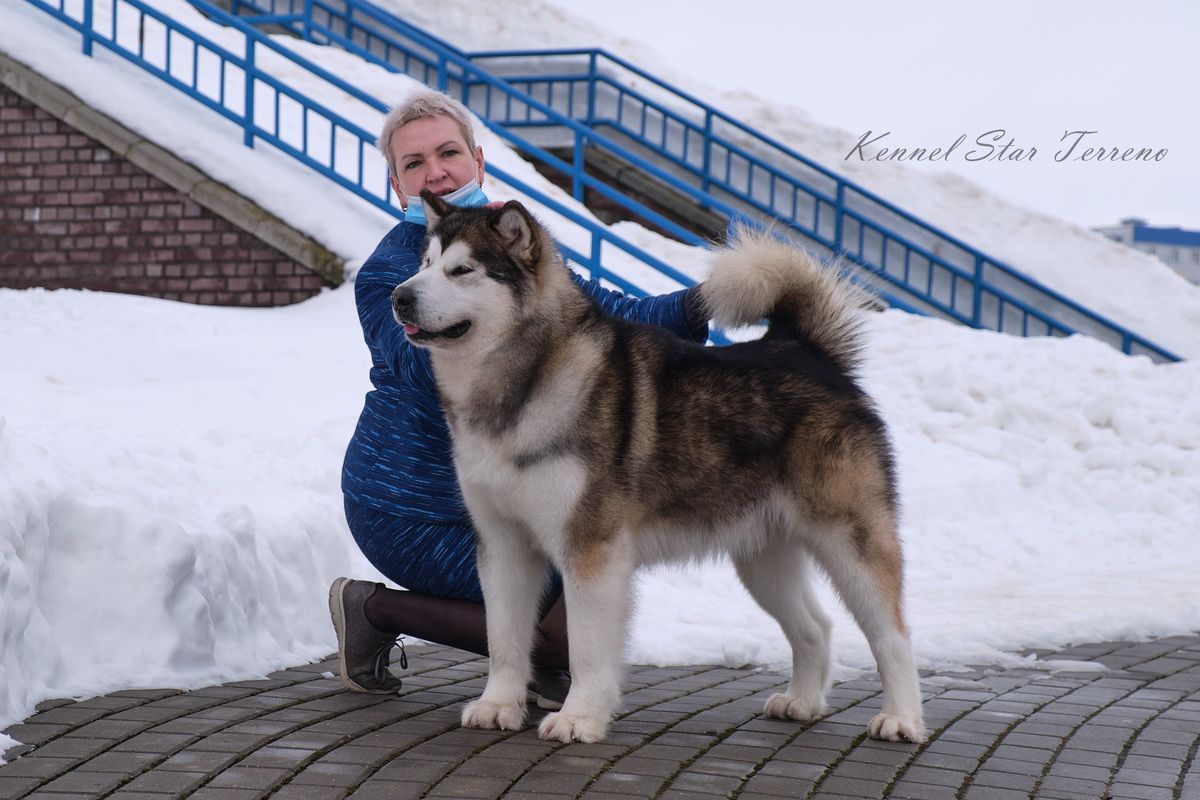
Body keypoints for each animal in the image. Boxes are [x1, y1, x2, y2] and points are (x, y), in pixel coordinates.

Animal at [398, 190, 921, 748]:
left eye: (463, 270)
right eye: (425, 264)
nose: (399, 296)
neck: (521, 385)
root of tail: (806, 351)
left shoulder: (591, 550)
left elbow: (585, 646)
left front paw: (579, 718)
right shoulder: (501, 544)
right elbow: (502, 638)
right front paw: (498, 706)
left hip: (850, 541)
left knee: (892, 634)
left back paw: (901, 719)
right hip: (762, 557)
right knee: (814, 627)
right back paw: (801, 702)